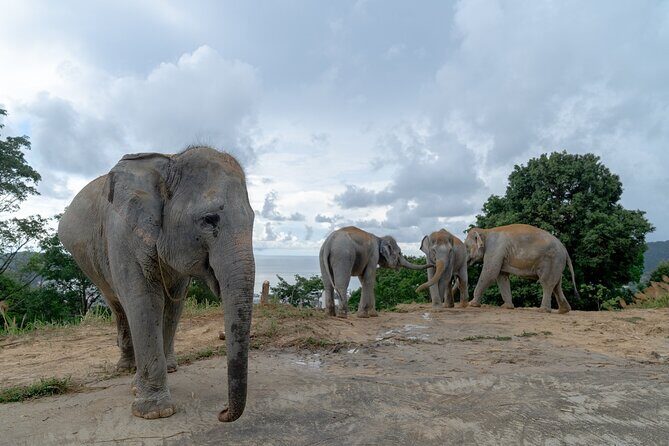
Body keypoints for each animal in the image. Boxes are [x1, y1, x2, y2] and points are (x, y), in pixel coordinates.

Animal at [58, 146, 255, 421]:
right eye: (209, 219)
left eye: (253, 219)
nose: (222, 412)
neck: (169, 162)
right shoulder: (123, 235)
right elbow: (144, 300)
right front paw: (155, 411)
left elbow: (173, 304)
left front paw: (144, 390)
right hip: (90, 266)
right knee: (118, 306)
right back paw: (126, 368)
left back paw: (168, 367)